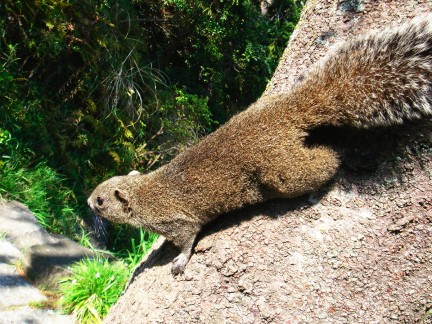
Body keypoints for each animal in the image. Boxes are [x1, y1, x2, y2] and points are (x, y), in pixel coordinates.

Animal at [87, 14, 432, 274]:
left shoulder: (178, 221)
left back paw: (340, 160)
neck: (143, 194)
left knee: (326, 161)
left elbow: (187, 241)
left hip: (283, 172)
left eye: (101, 200)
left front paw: (179, 261)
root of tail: (287, 113)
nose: (88, 203)